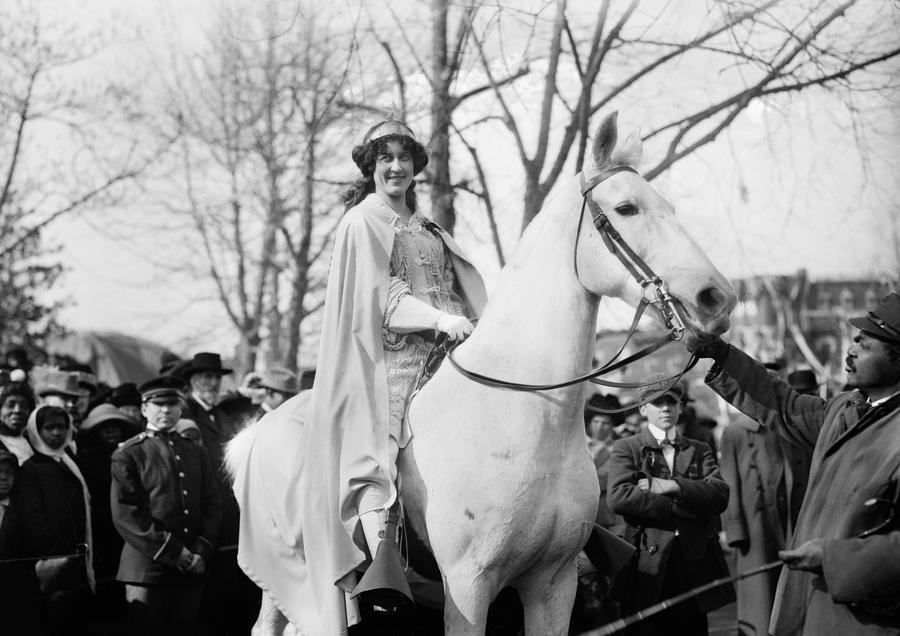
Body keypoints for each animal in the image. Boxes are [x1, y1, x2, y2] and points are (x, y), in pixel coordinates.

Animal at [225, 114, 732, 636]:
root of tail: (259, 431)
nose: (717, 297)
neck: (523, 415)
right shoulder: (468, 587)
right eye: (627, 207)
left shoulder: (554, 584)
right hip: (294, 582)